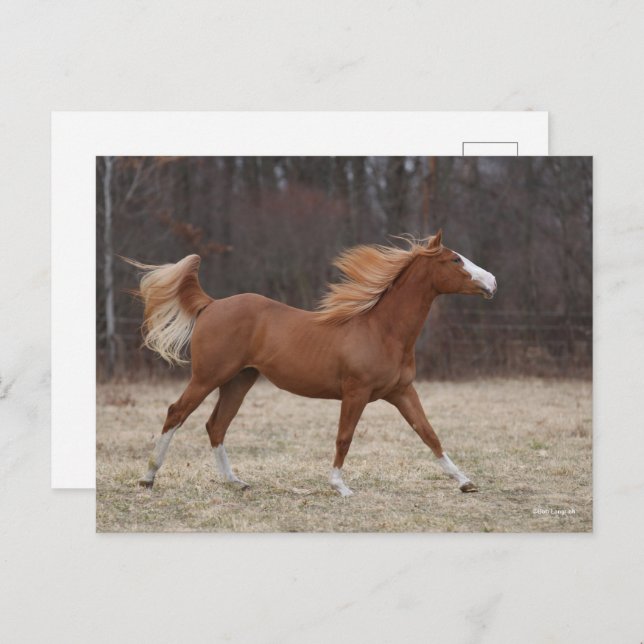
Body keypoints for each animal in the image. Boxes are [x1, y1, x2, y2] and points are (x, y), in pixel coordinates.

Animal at [127, 230, 496, 496]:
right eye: (455, 260)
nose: (492, 282)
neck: (382, 330)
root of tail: (211, 304)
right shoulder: (356, 393)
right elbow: (344, 437)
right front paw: (340, 487)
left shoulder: (402, 392)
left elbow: (429, 434)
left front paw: (465, 482)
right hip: (208, 377)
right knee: (176, 413)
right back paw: (148, 478)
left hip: (240, 380)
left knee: (216, 425)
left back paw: (236, 482)